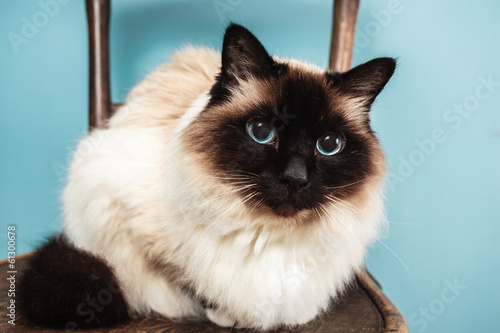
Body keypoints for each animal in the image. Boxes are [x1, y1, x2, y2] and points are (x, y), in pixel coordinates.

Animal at [17, 24, 396, 330]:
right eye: (261, 132)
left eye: (328, 145)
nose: (295, 177)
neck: (267, 233)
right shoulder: (129, 218)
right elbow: (194, 283)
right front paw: (228, 316)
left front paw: (295, 315)